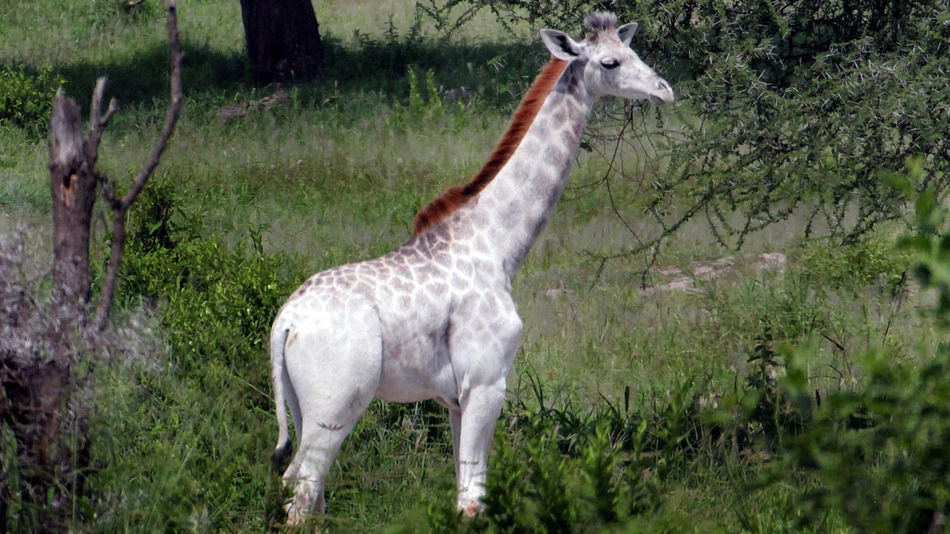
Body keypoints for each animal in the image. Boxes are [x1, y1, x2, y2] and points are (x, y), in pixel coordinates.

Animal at [269, 11, 674, 524]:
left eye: (633, 51)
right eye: (610, 61)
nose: (664, 90)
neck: (497, 245)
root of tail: (285, 323)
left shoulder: (454, 397)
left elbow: (464, 490)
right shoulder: (487, 381)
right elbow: (473, 499)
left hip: (302, 408)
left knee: (307, 497)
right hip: (335, 405)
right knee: (301, 489)